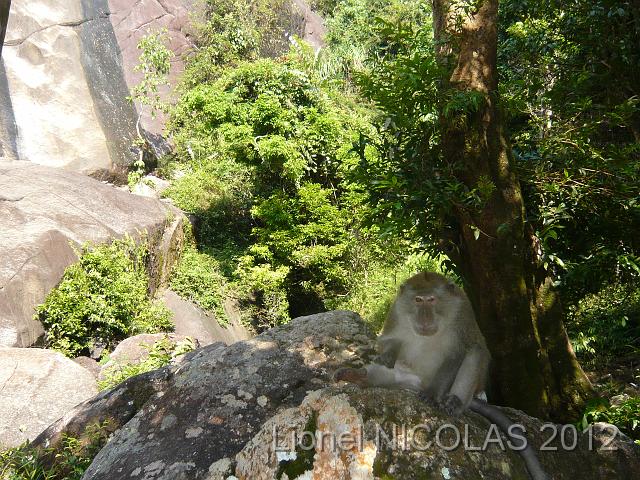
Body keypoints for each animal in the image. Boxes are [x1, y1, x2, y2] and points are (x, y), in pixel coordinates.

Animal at [335, 271, 549, 480]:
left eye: (431, 300)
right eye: (418, 300)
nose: (425, 318)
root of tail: (421, 383)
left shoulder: (461, 313)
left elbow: (457, 353)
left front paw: (432, 394)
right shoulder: (396, 311)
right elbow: (390, 341)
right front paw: (386, 356)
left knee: (475, 351)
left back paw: (455, 402)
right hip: (409, 380)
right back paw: (359, 376)